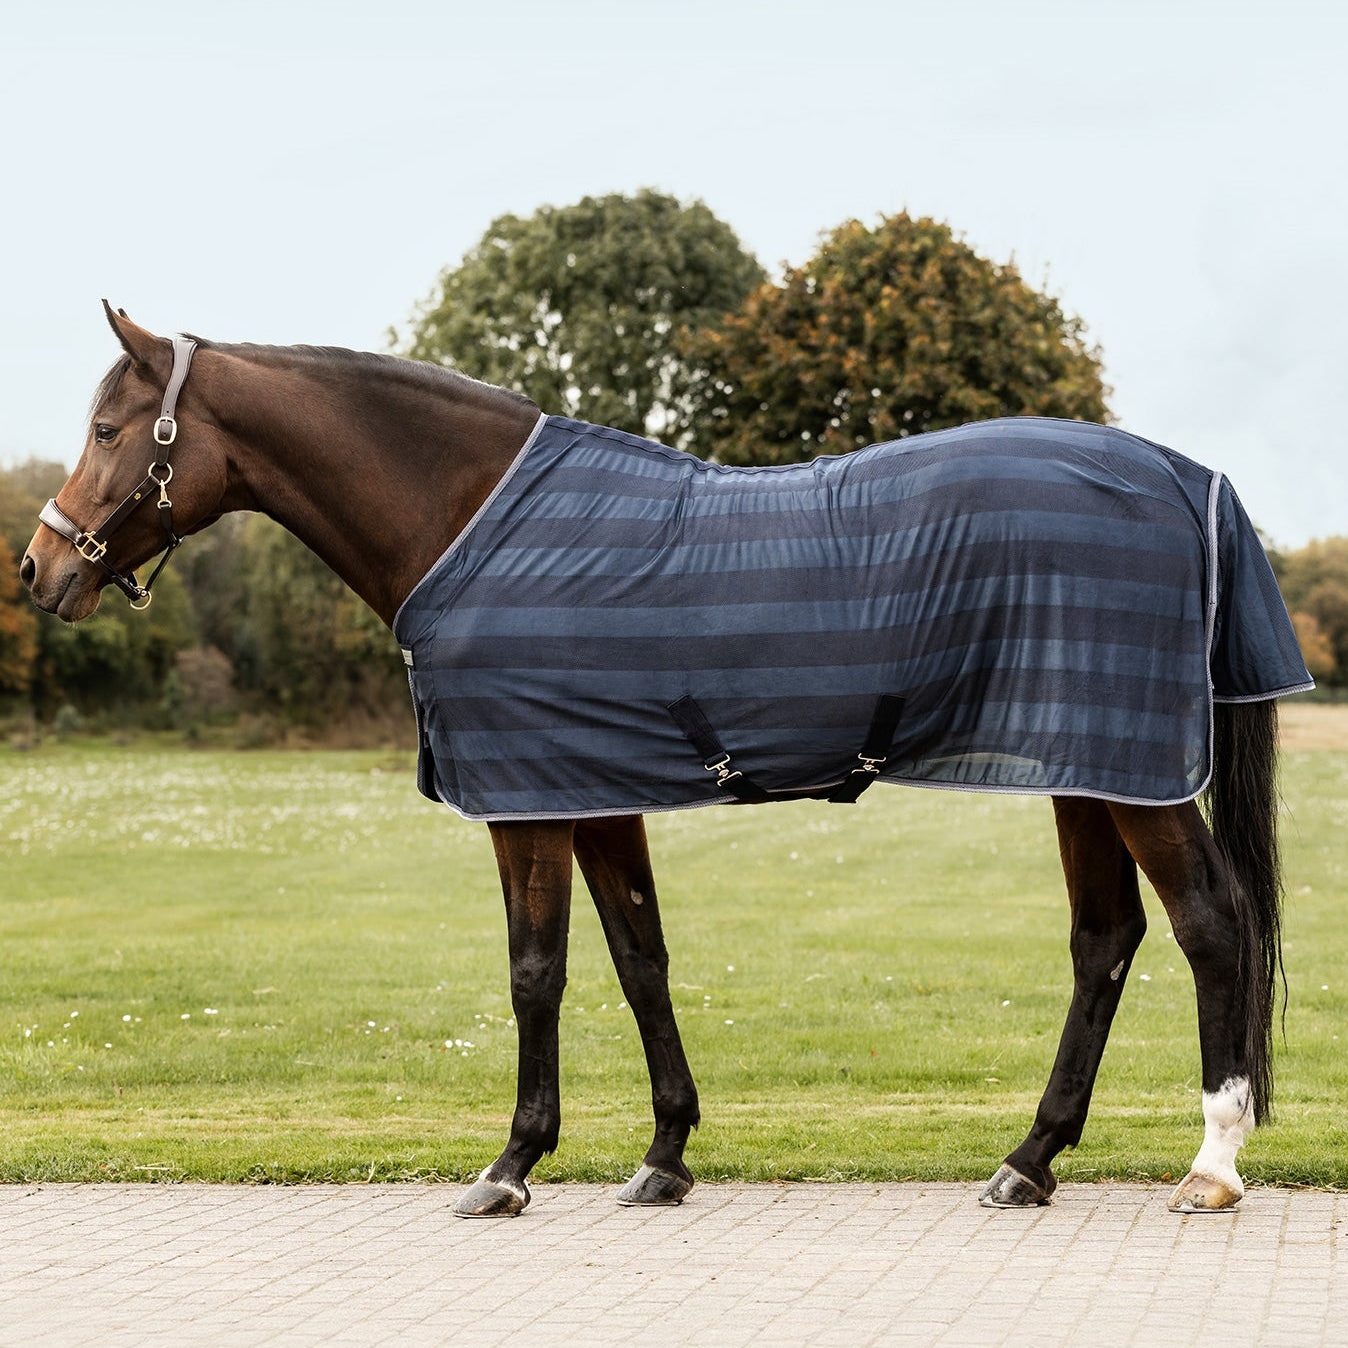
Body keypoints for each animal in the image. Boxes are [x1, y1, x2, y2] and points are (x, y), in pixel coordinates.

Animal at [22, 304, 1312, 1219]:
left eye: (107, 429)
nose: (41, 569)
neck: (471, 517)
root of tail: (1185, 479)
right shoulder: (595, 793)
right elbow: (640, 961)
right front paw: (663, 1155)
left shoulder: (527, 802)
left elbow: (534, 971)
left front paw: (510, 1162)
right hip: (1090, 764)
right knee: (1106, 939)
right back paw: (1028, 1159)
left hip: (1130, 774)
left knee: (1211, 922)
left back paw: (1210, 1164)